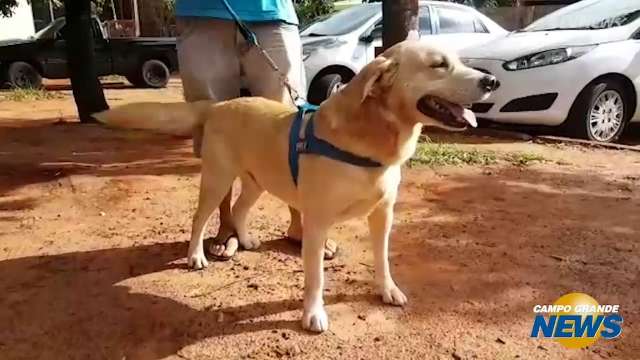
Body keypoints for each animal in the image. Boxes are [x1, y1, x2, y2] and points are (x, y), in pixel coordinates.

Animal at [94, 39, 500, 332]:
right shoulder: (317, 222)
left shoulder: (383, 215)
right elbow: (315, 277)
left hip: (257, 182)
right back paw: (197, 256)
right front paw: (313, 315)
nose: (491, 81)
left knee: (239, 209)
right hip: (217, 180)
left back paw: (245, 239)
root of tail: (217, 104)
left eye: (458, 60)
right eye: (438, 65)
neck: (372, 139)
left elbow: (382, 259)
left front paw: (387, 290)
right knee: (201, 219)